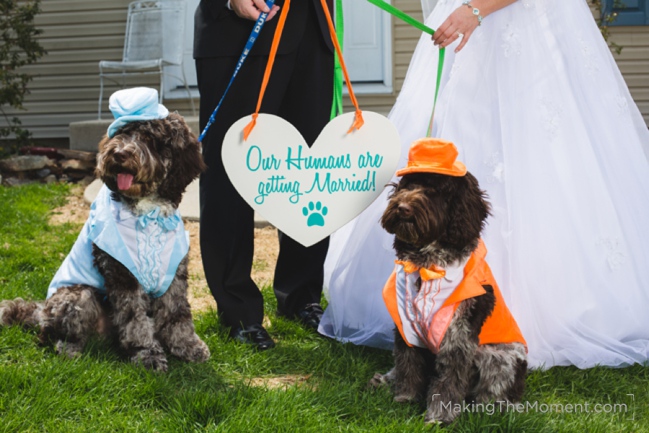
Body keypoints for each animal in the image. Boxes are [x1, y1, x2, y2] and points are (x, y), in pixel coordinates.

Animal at [0, 88, 209, 372]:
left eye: (149, 137)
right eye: (122, 133)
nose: (118, 154)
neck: (149, 214)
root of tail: (41, 310)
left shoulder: (173, 274)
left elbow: (178, 315)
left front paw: (187, 347)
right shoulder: (122, 274)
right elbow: (136, 322)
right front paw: (147, 354)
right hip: (78, 295)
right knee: (50, 336)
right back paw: (70, 350)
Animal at [370, 140, 528, 424]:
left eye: (435, 190)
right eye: (407, 184)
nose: (402, 208)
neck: (427, 265)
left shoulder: (457, 336)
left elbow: (448, 379)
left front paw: (438, 417)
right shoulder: (406, 325)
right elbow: (407, 361)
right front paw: (405, 396)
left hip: (501, 358)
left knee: (496, 387)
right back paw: (386, 379)